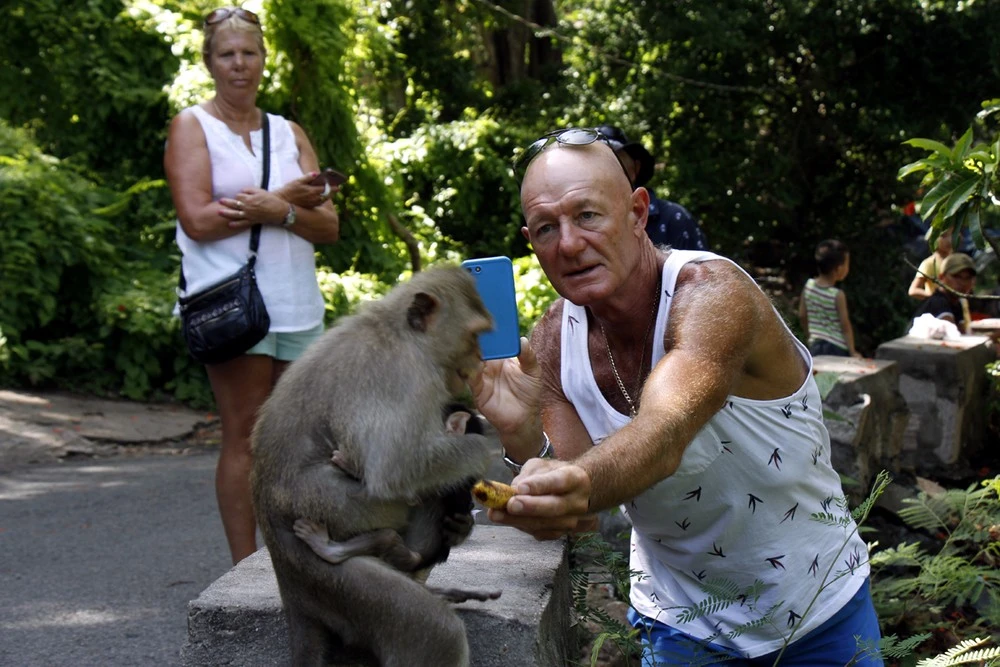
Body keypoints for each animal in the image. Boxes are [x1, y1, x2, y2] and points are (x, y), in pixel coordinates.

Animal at [250, 266, 502, 667]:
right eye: (474, 335)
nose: (480, 359)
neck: (399, 331)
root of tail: (285, 575)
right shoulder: (405, 377)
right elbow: (392, 470)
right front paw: (485, 446)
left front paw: (461, 523)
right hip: (331, 579)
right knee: (437, 631)